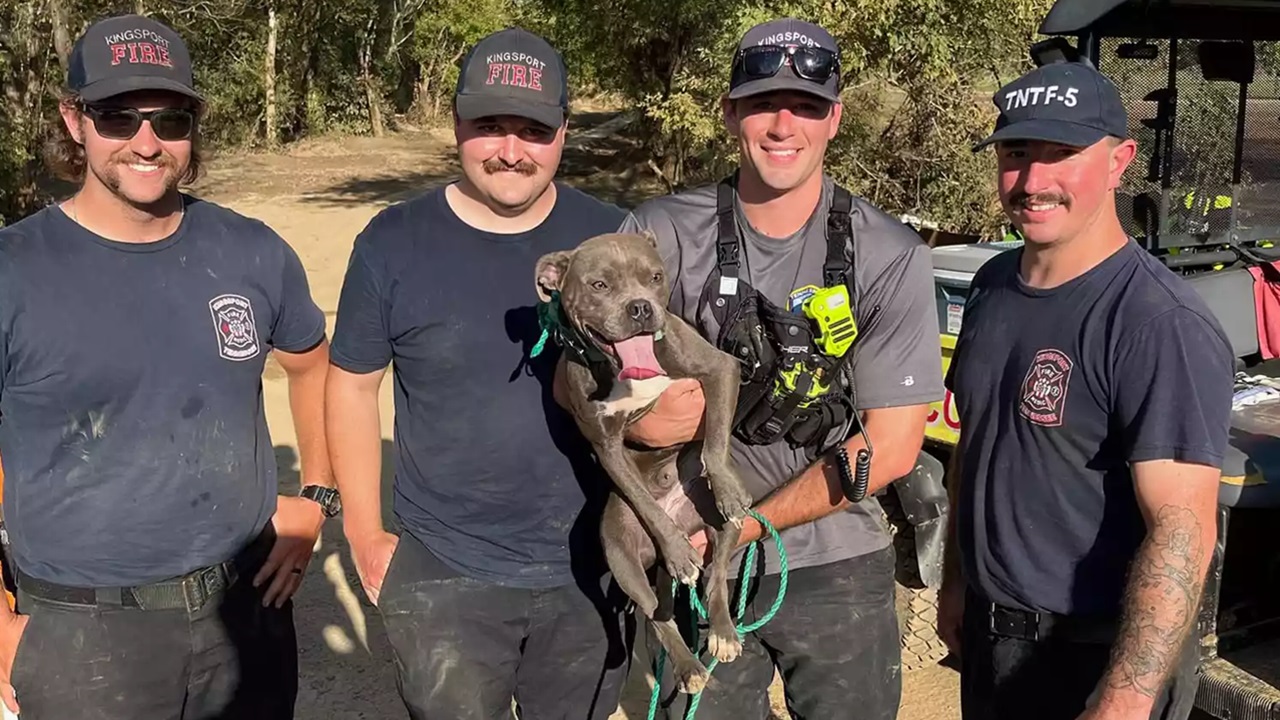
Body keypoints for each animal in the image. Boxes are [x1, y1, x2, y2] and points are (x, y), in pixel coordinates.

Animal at [535, 229, 752, 691]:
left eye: (655, 277)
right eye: (600, 285)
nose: (640, 307)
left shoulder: (720, 369)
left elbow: (713, 442)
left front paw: (726, 485)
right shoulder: (606, 444)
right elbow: (645, 501)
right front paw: (677, 548)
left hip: (724, 525)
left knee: (716, 580)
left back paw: (724, 633)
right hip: (622, 556)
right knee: (656, 614)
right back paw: (689, 666)